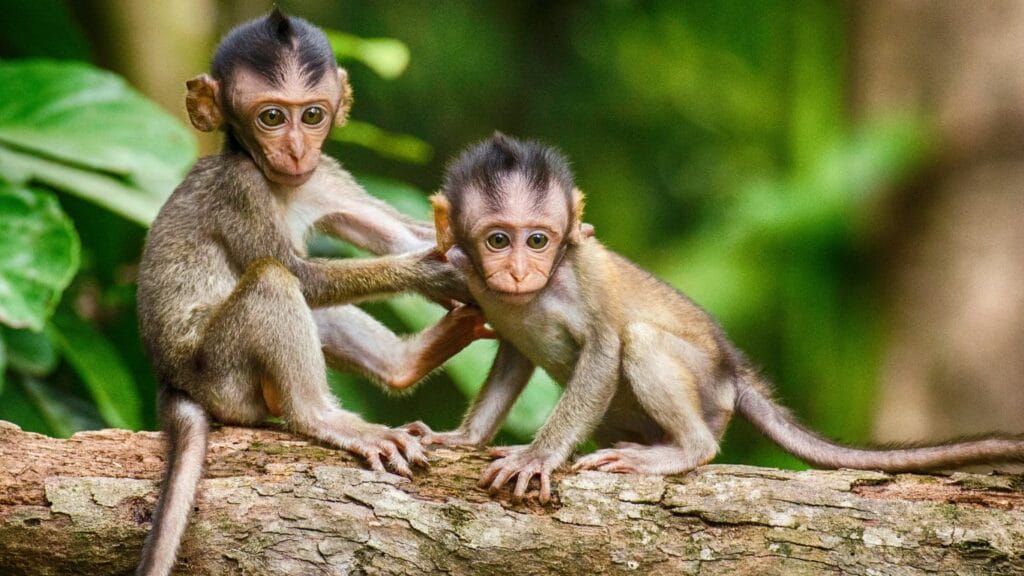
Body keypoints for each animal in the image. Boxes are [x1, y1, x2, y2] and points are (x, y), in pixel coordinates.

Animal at [134, 10, 487, 576]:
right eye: (272, 117)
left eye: (314, 115)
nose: (297, 148)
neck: (281, 183)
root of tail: (172, 381)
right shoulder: (240, 187)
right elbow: (301, 275)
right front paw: (431, 273)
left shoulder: (325, 176)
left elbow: (399, 234)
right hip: (223, 377)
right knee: (272, 281)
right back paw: (322, 417)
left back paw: (406, 363)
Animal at [405, 133, 1024, 504]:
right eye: (498, 240)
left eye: (538, 240)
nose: (517, 271)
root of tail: (732, 371)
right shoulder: (473, 282)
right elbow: (512, 355)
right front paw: (463, 438)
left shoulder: (580, 273)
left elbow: (605, 348)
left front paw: (538, 456)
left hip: (708, 391)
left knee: (642, 341)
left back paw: (685, 450)